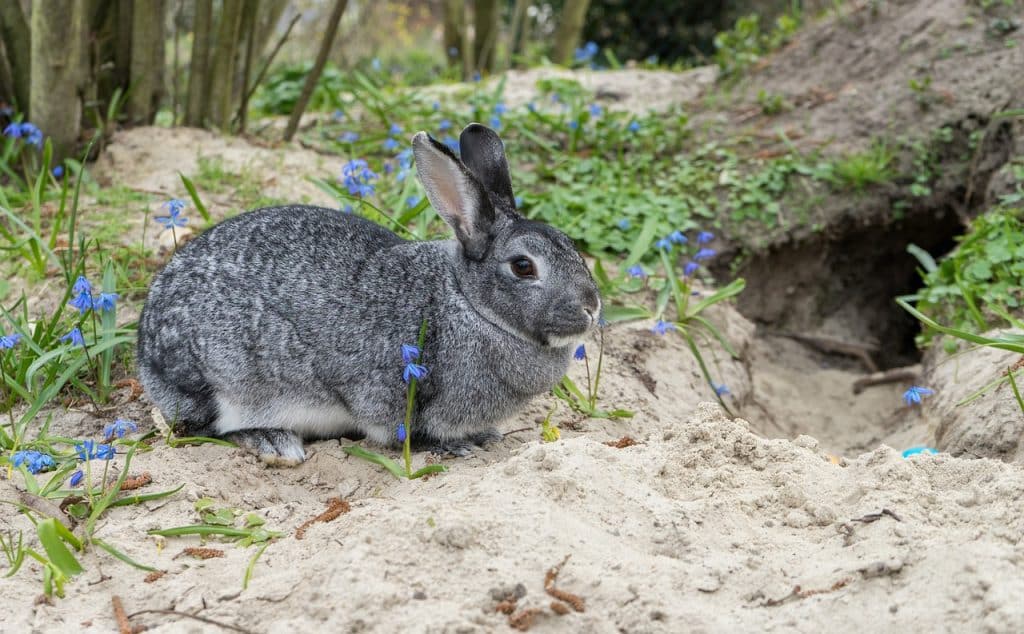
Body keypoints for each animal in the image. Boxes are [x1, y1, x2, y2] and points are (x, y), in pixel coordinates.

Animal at [136, 122, 598, 467]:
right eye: (523, 266)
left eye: (570, 244)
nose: (592, 308)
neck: (468, 302)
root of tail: (146, 348)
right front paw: (458, 445)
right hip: (219, 382)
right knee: (202, 428)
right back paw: (273, 442)